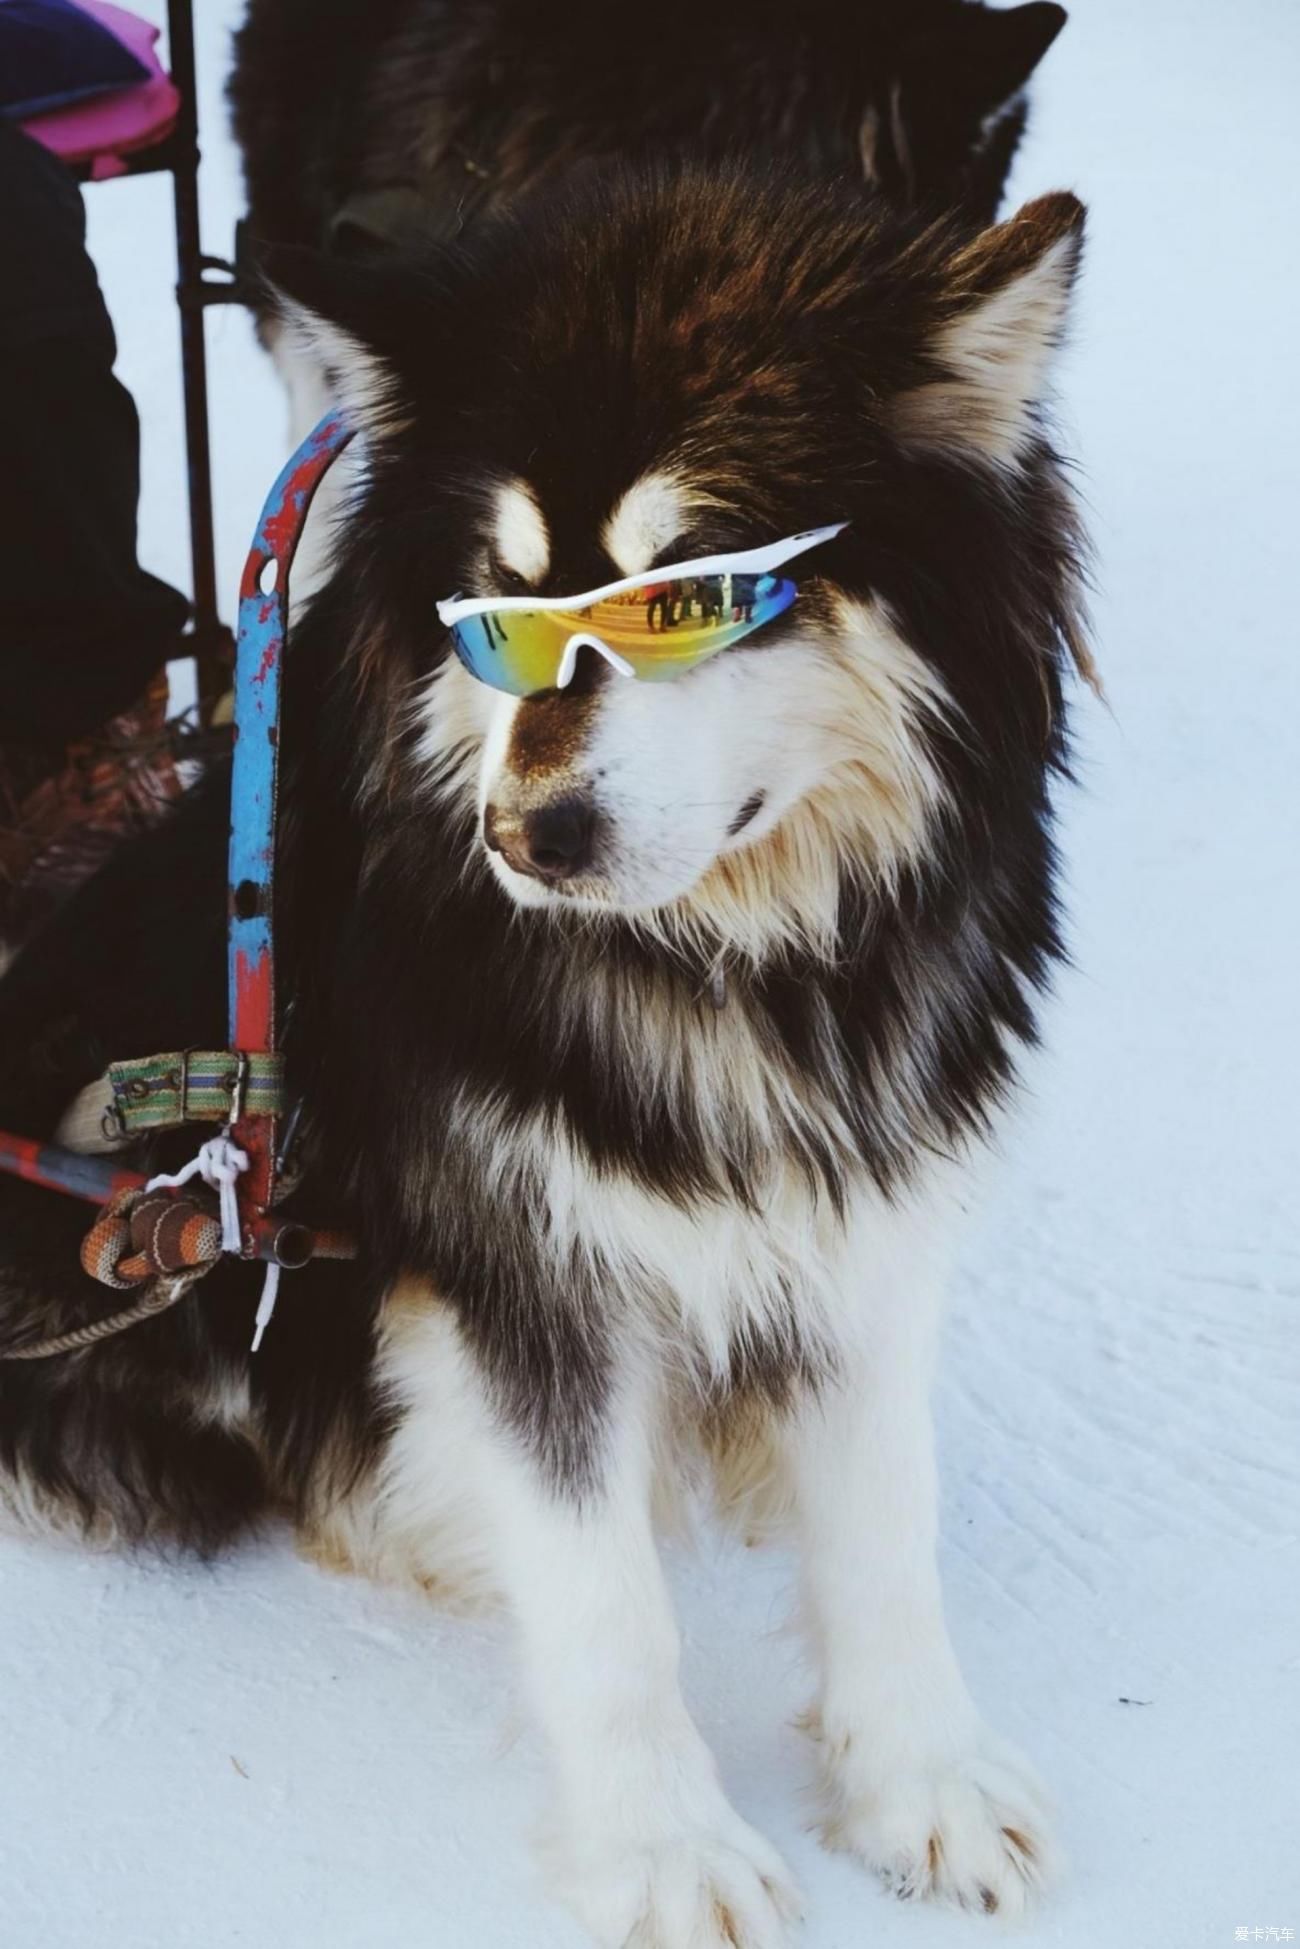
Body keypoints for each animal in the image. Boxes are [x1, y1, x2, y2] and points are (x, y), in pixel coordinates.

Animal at [2, 7, 1099, 1941]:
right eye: (492, 611)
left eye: (695, 596)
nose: (528, 836)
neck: (732, 963)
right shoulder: (514, 1261)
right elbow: (599, 1600)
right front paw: (665, 1846)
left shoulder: (864, 1201)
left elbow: (882, 1524)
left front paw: (921, 1777)